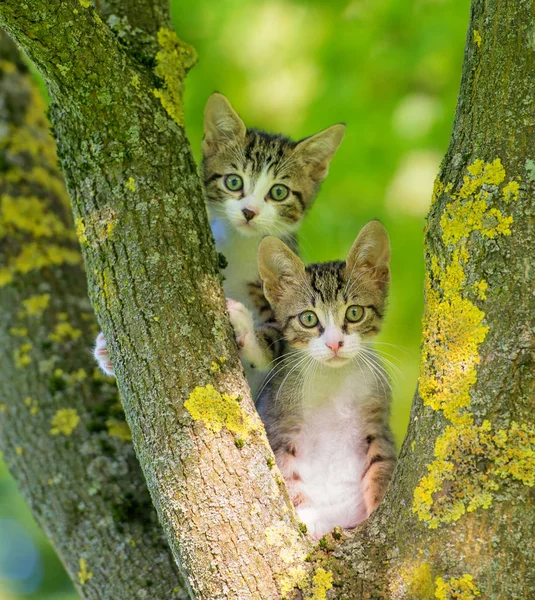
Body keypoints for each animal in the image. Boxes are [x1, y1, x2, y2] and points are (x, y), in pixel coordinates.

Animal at [94, 93, 344, 376]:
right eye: (233, 181)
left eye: (279, 192)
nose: (249, 211)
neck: (240, 244)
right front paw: (105, 351)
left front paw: (250, 336)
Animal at [249, 220, 396, 540]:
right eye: (308, 318)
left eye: (354, 313)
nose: (334, 343)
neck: (332, 380)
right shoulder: (278, 424)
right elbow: (285, 472)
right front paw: (308, 516)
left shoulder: (376, 422)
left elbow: (382, 464)